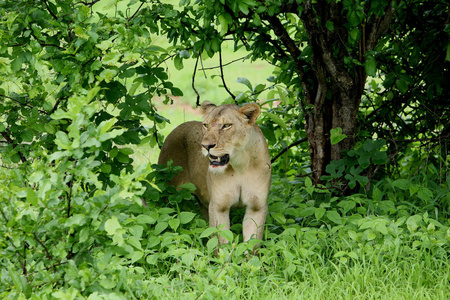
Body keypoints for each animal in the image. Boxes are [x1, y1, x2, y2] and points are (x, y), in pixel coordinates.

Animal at [158, 101, 270, 244]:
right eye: (206, 125)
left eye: (226, 126)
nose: (206, 146)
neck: (239, 166)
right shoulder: (218, 206)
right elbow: (221, 240)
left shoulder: (257, 207)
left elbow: (252, 242)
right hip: (167, 194)